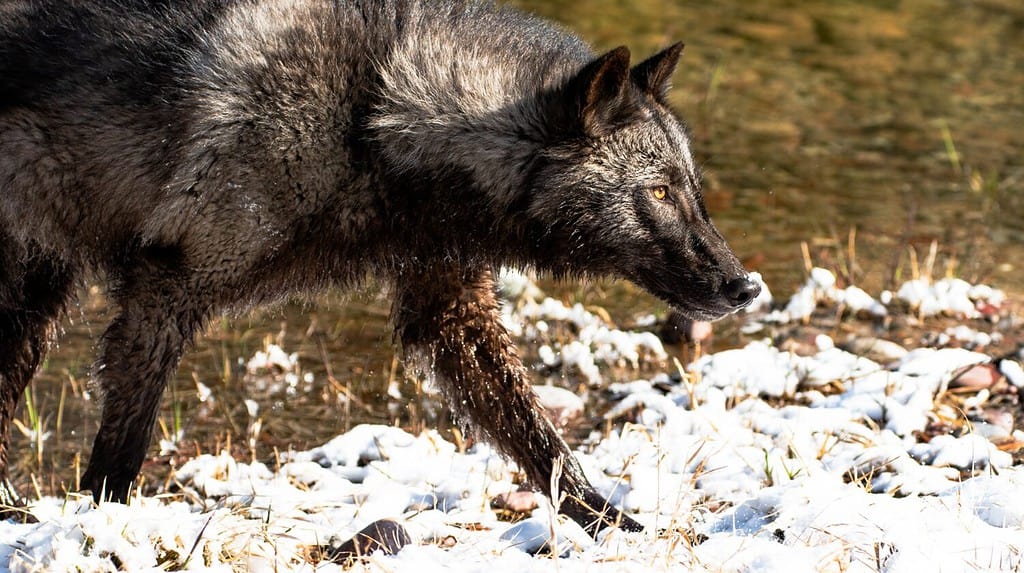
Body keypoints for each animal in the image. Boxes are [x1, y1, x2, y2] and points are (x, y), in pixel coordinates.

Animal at [0, 0, 753, 536]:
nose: (744, 286)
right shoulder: (164, 291)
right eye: (659, 192)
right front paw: (103, 525)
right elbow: (122, 449)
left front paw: (613, 524)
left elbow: (544, 445)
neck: (373, 116)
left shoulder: (448, 308)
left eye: (691, 188)